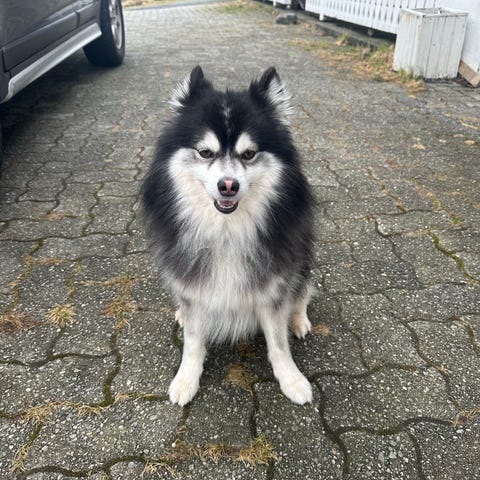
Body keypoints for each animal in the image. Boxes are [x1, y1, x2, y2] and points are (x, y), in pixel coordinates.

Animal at [141, 66, 315, 405]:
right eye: (205, 152)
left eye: (249, 154)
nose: (228, 186)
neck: (226, 230)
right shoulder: (193, 284)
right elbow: (193, 342)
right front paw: (186, 379)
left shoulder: (274, 285)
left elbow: (279, 343)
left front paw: (292, 379)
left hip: (301, 262)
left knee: (302, 293)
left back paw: (299, 320)